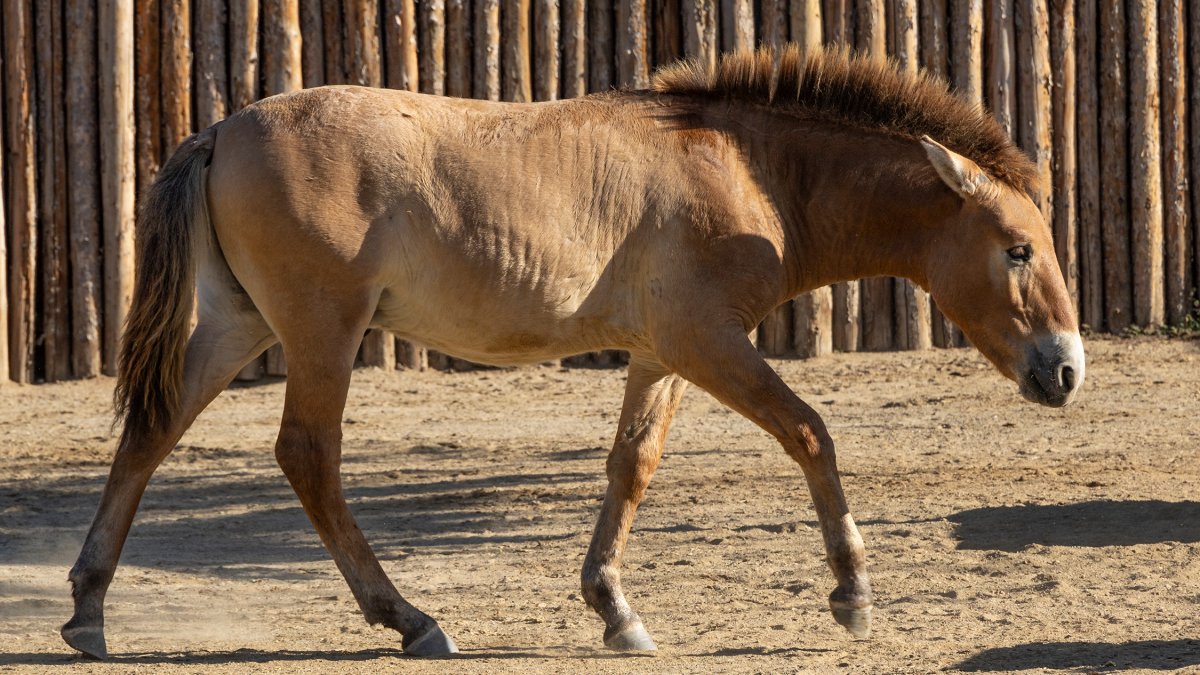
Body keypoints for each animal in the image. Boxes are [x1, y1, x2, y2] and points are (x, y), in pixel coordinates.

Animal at [60, 47, 1084, 658]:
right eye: (1018, 249)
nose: (1067, 368)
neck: (744, 167)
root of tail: (221, 129)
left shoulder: (662, 354)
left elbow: (632, 466)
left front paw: (614, 609)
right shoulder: (708, 342)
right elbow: (810, 434)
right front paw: (853, 590)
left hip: (243, 327)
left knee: (150, 433)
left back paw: (88, 610)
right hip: (321, 334)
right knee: (307, 455)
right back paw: (411, 619)